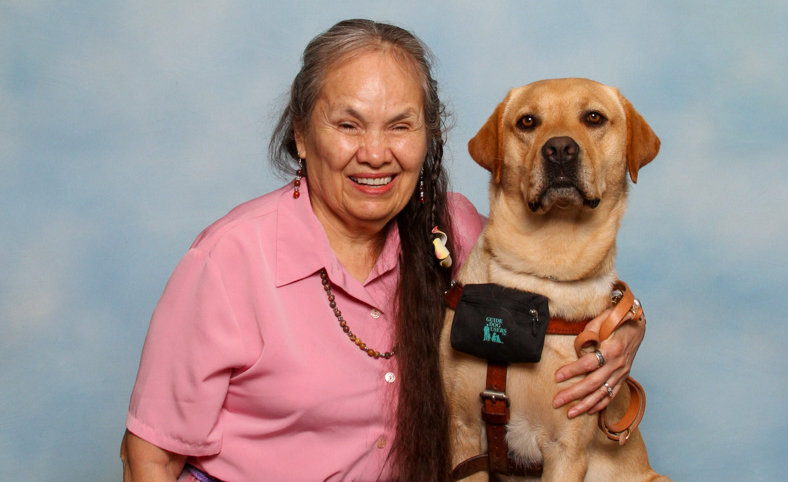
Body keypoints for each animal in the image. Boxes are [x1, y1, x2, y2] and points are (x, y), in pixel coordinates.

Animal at [440, 77, 668, 480]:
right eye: (528, 122)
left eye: (594, 117)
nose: (560, 149)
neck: (542, 270)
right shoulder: (463, 434)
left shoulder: (567, 449)